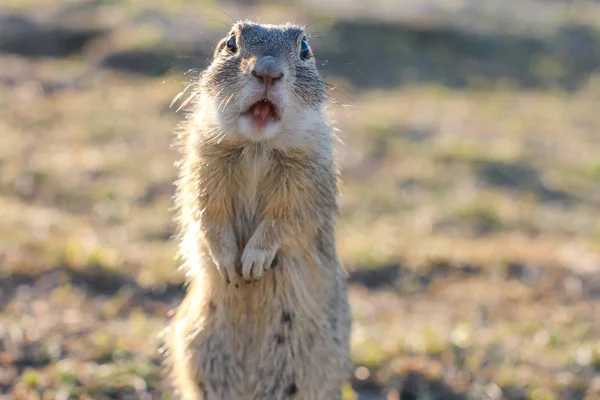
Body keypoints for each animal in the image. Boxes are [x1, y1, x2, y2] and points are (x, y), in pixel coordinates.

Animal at [164, 20, 352, 398]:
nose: (267, 71)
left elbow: (285, 219)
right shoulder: (203, 163)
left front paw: (252, 264)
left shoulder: (307, 178)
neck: (257, 147)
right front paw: (228, 265)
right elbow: (206, 209)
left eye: (305, 49)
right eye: (230, 44)